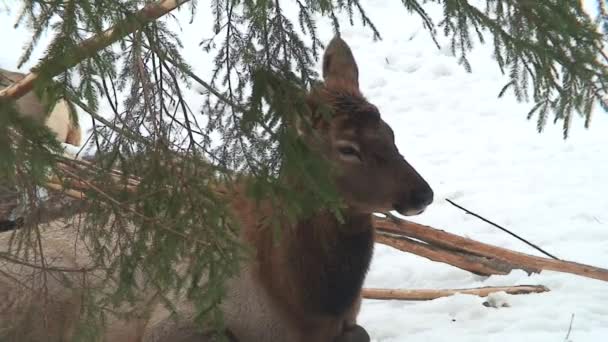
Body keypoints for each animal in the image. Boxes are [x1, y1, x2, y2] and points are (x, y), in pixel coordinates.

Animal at [0, 36, 432, 340]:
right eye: (347, 148)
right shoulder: (175, 319)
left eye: (389, 132)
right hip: (48, 290)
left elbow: (361, 334)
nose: (422, 194)